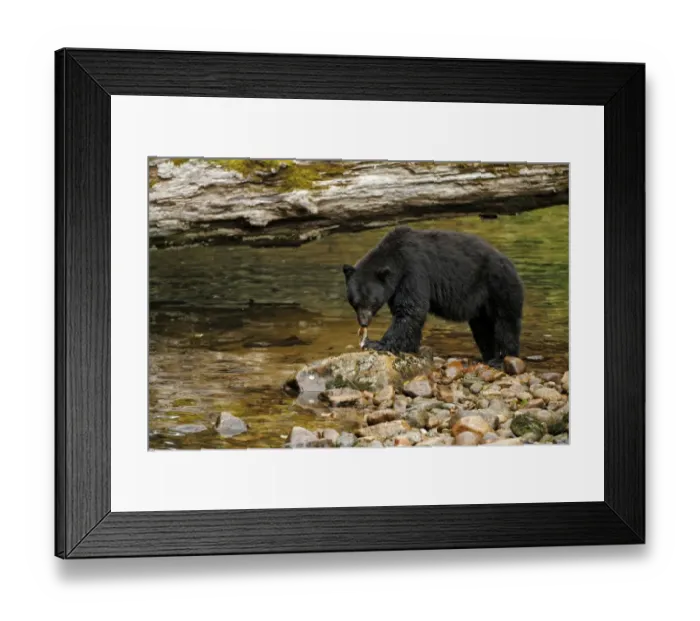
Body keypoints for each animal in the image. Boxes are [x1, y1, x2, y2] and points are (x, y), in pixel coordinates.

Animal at [342, 225, 524, 367]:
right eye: (355, 302)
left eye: (372, 302)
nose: (364, 322)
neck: (396, 259)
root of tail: (511, 265)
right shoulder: (397, 286)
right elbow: (406, 312)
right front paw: (409, 347)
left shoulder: (414, 270)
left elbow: (412, 309)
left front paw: (376, 343)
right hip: (482, 305)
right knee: (483, 329)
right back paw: (488, 355)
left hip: (499, 287)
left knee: (505, 324)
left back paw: (502, 359)